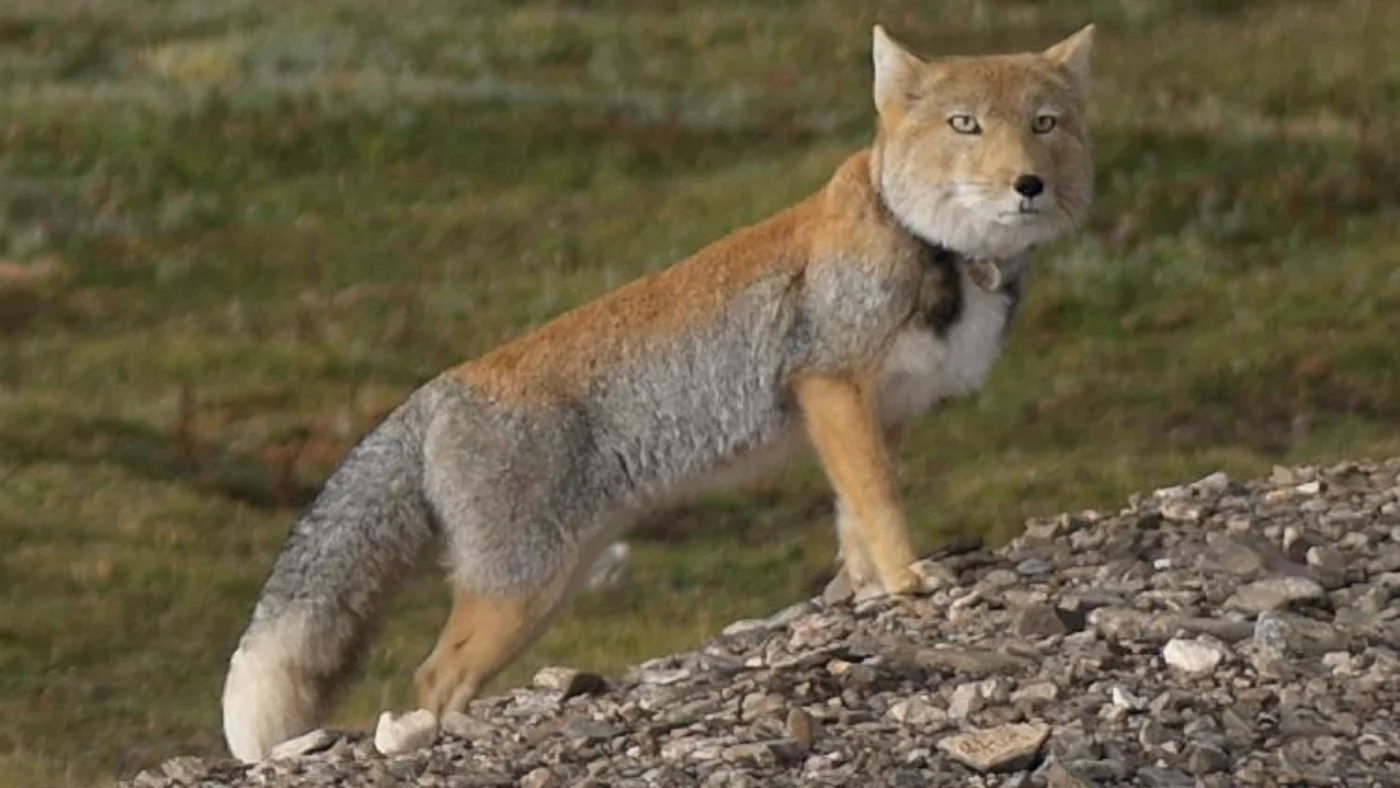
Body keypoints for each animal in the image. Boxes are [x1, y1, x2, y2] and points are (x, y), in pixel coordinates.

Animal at [221, 22, 1096, 762]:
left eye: (1044, 124)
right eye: (965, 126)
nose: (1027, 184)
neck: (941, 256)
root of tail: (439, 389)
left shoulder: (887, 410)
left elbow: (855, 520)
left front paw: (868, 595)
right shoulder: (830, 383)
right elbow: (879, 504)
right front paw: (910, 580)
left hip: (550, 587)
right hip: (521, 590)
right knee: (432, 678)